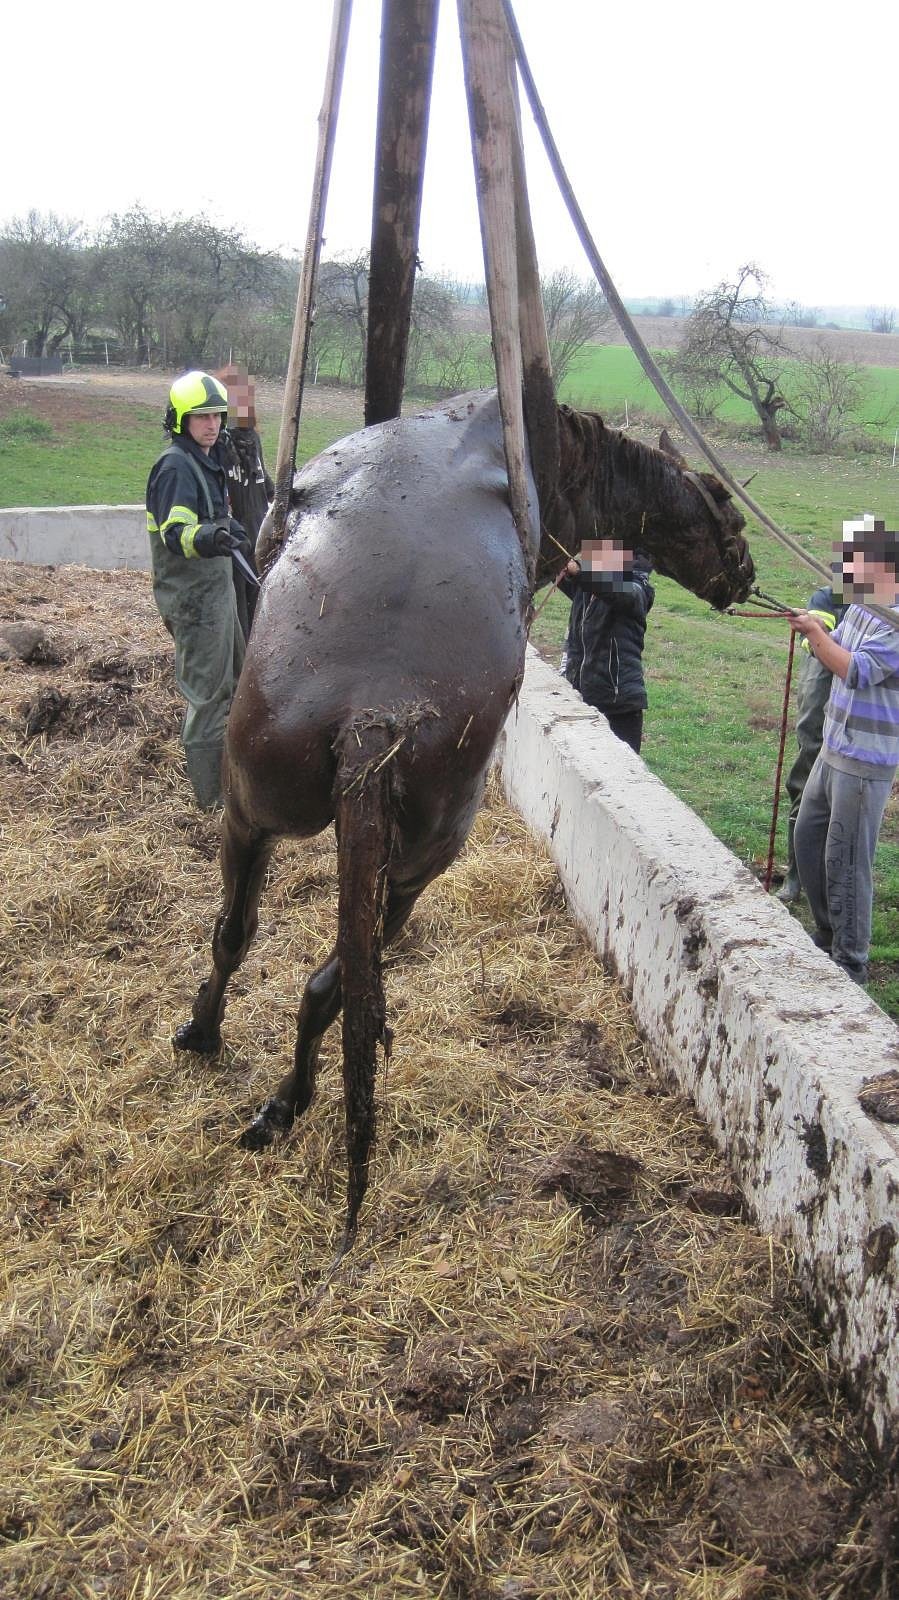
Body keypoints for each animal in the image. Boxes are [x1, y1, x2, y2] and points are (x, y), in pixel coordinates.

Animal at [173, 390, 748, 1248]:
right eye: (724, 509)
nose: (744, 575)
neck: (574, 456)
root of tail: (375, 712)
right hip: (395, 859)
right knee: (314, 975)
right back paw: (271, 1088)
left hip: (267, 816)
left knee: (248, 941)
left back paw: (236, 1064)